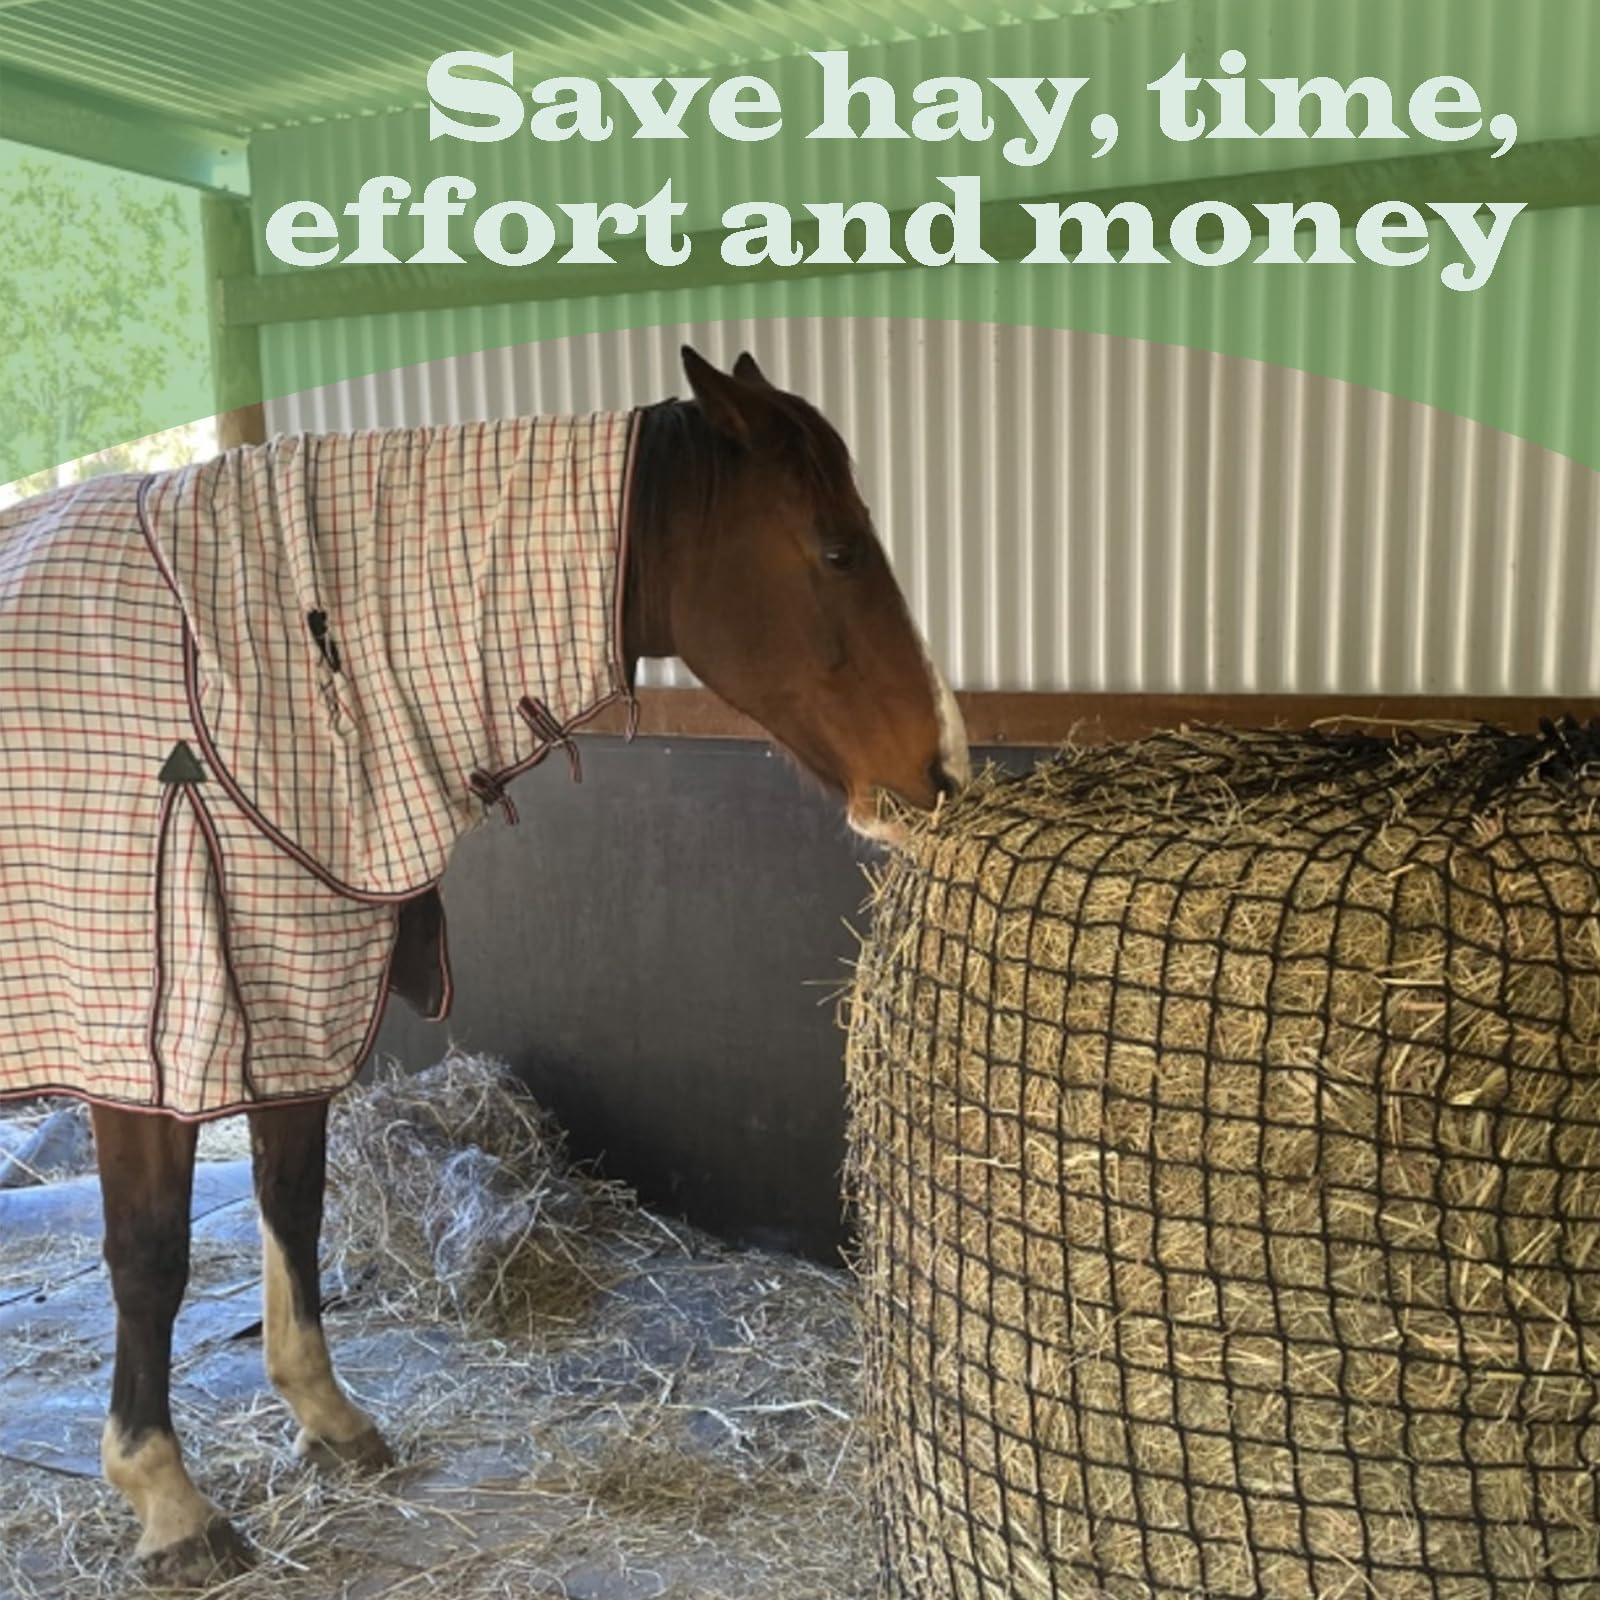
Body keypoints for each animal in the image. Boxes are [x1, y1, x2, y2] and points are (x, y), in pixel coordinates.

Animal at [0, 346, 968, 1584]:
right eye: (836, 548)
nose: (939, 767)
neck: (235, 674)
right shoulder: (145, 1041)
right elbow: (151, 1258)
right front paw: (169, 1500)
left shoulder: (293, 991)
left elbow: (291, 1202)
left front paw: (326, 1414)